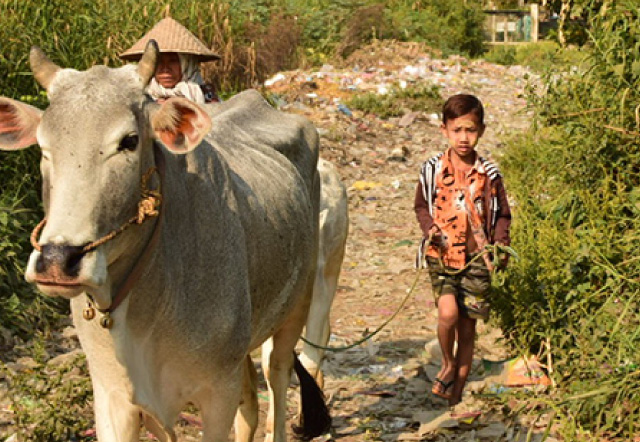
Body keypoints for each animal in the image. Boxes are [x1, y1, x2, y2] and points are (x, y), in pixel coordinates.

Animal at [0, 39, 330, 440]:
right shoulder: (112, 397)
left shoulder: (217, 393)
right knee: (251, 403)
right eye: (43, 147)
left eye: (129, 141)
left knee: (277, 381)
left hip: (294, 311)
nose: (57, 261)